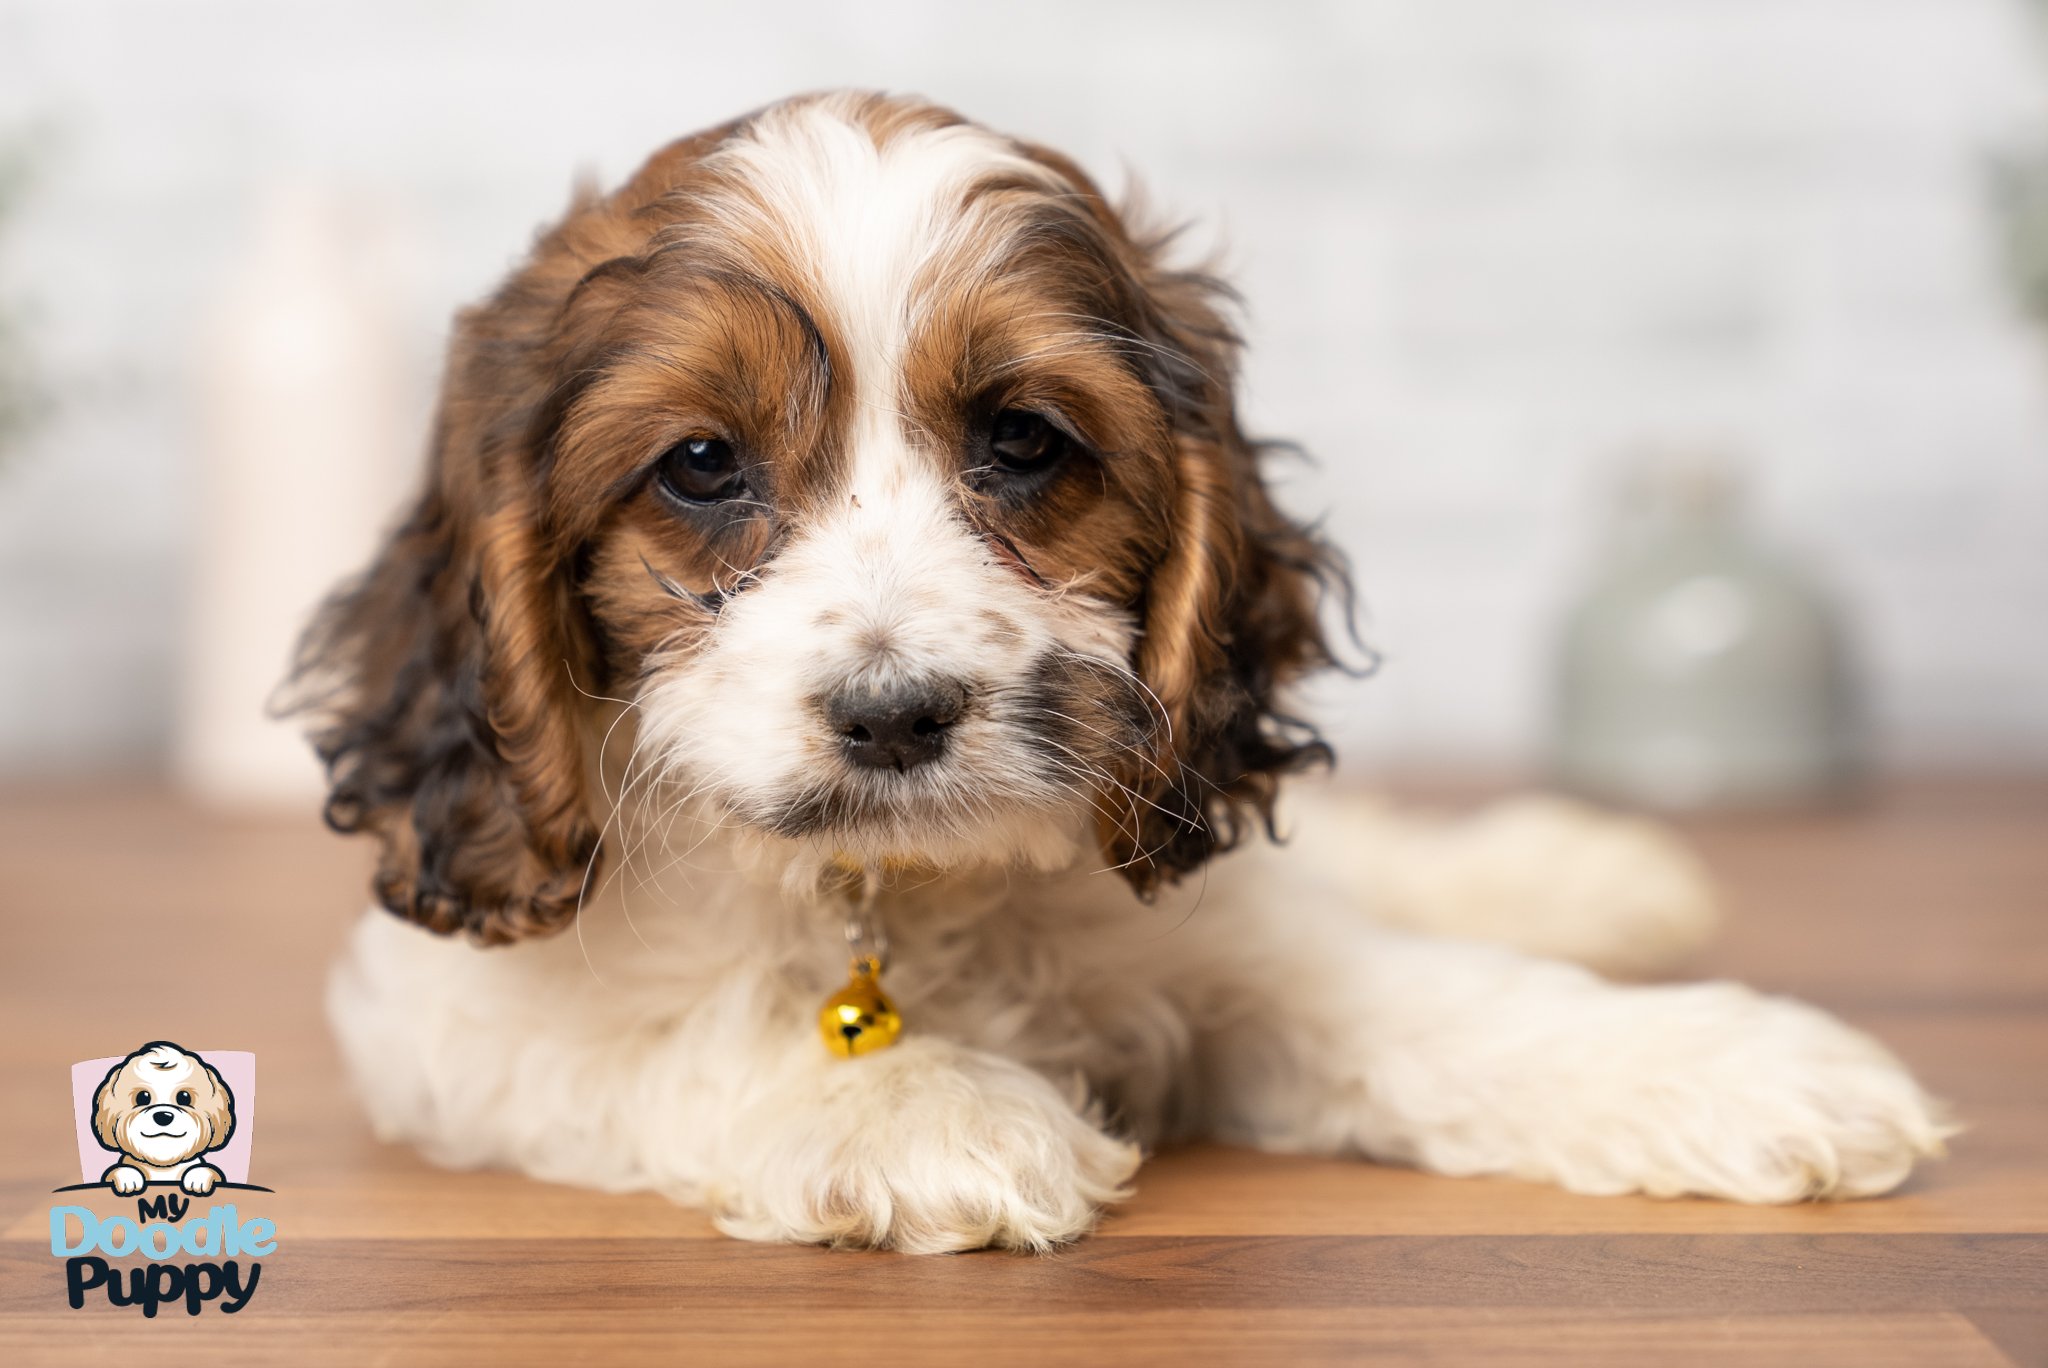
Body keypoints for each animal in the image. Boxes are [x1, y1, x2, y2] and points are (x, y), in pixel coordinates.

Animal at [89, 1040, 234, 1187]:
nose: (163, 1116)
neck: (163, 1169)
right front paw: (127, 1176)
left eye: (184, 1097)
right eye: (142, 1097)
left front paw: (198, 1177)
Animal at [292, 93, 1949, 1253]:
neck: (897, 901)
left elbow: (1426, 994)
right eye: (700, 466)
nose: (896, 716)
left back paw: (1583, 875)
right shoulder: (459, 1018)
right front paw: (914, 1108)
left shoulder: (1230, 939)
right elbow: (666, 1039)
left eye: (1025, 440)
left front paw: (1732, 1067)